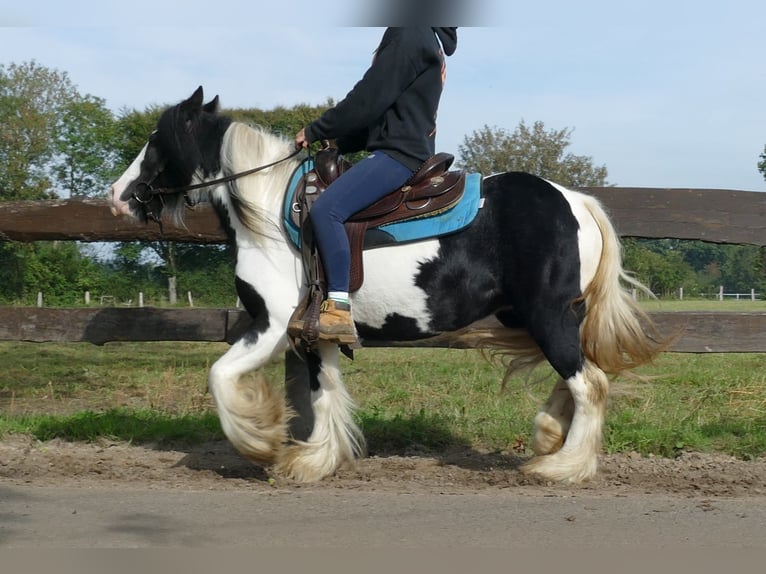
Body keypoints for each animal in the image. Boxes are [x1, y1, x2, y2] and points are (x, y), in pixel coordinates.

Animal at [109, 89, 664, 486]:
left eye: (157, 141)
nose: (117, 196)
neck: (269, 210)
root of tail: (576, 201)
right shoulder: (313, 331)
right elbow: (324, 393)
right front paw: (315, 460)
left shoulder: (271, 324)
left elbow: (220, 376)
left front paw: (260, 442)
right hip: (533, 316)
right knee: (578, 374)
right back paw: (550, 434)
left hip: (547, 314)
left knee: (589, 382)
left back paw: (563, 466)